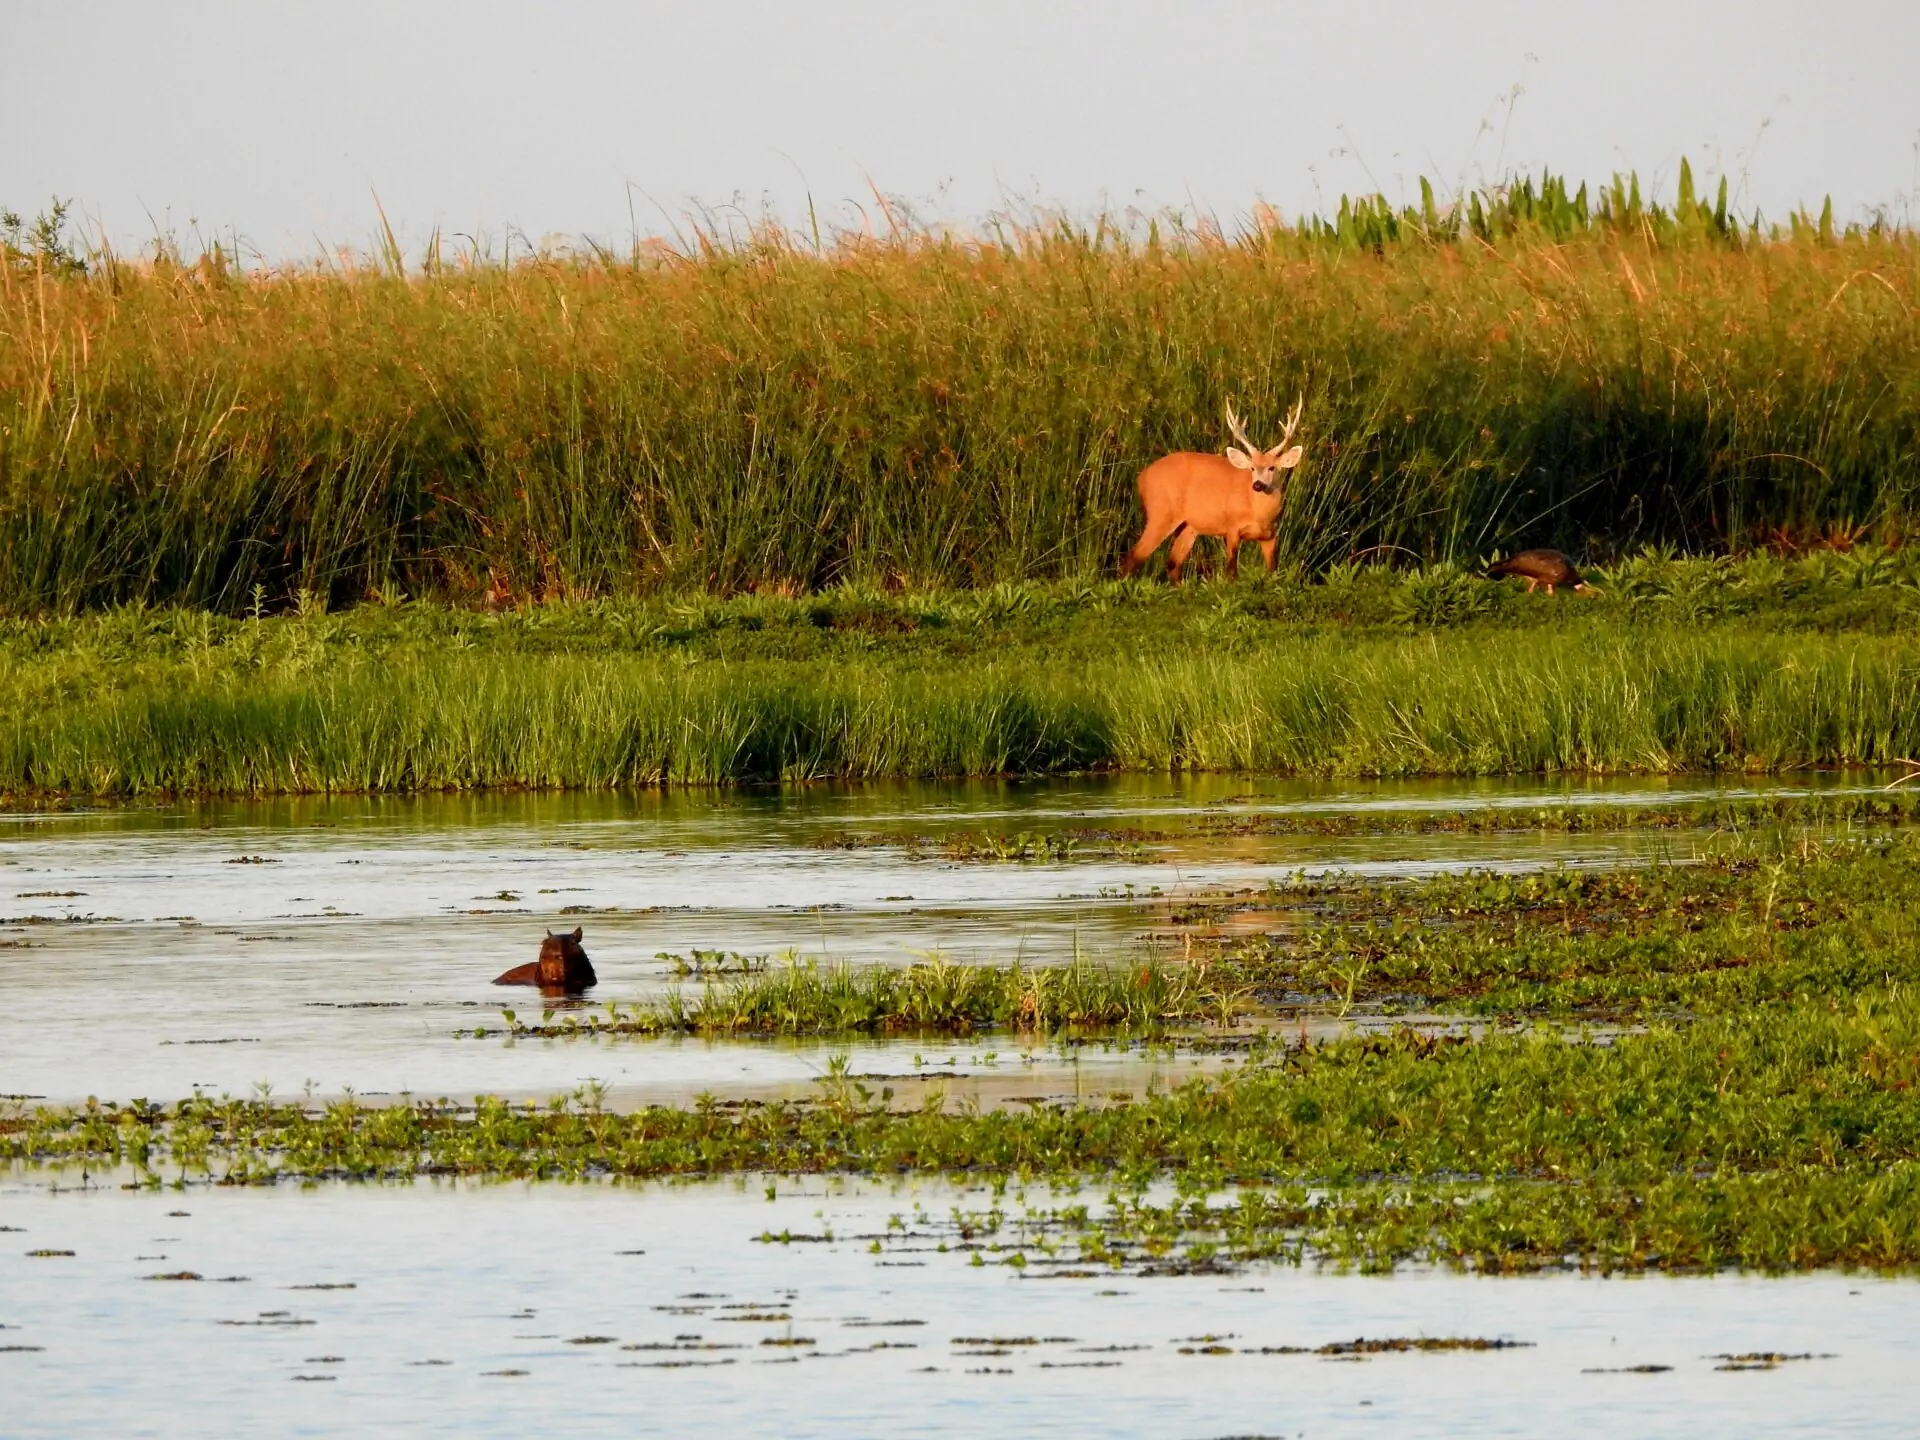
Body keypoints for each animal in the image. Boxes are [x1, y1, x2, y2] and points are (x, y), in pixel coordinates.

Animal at [1119, 398, 1305, 582]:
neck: (1259, 515)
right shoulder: (1232, 527)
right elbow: (1231, 572)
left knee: (1173, 564)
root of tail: (1142, 477)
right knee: (1133, 557)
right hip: (1161, 512)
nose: (1257, 485)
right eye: (1252, 468)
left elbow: (1273, 572)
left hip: (1188, 526)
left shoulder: (1270, 536)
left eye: (1272, 468)